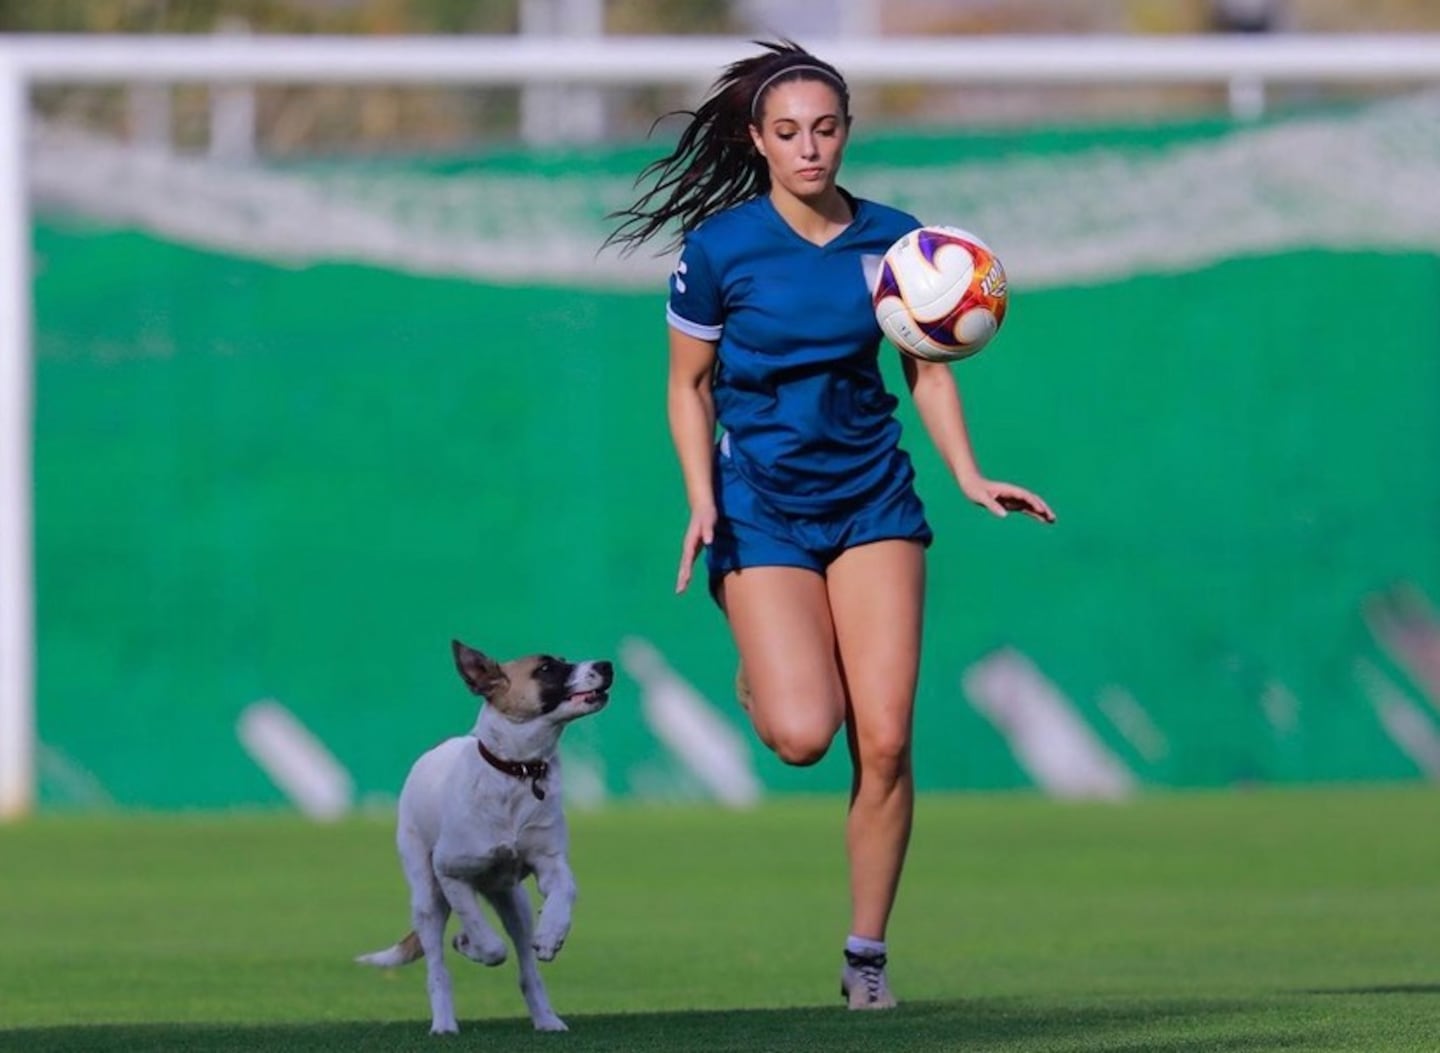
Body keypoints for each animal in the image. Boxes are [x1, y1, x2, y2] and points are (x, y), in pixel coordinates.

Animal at [360, 639, 613, 1031]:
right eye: (546, 668)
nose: (607, 666)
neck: (517, 771)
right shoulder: (450, 872)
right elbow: (487, 940)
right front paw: (471, 944)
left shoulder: (551, 861)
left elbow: (566, 889)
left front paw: (552, 934)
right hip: (426, 896)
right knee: (438, 969)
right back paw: (444, 1023)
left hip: (513, 901)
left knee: (528, 970)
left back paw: (546, 1019)